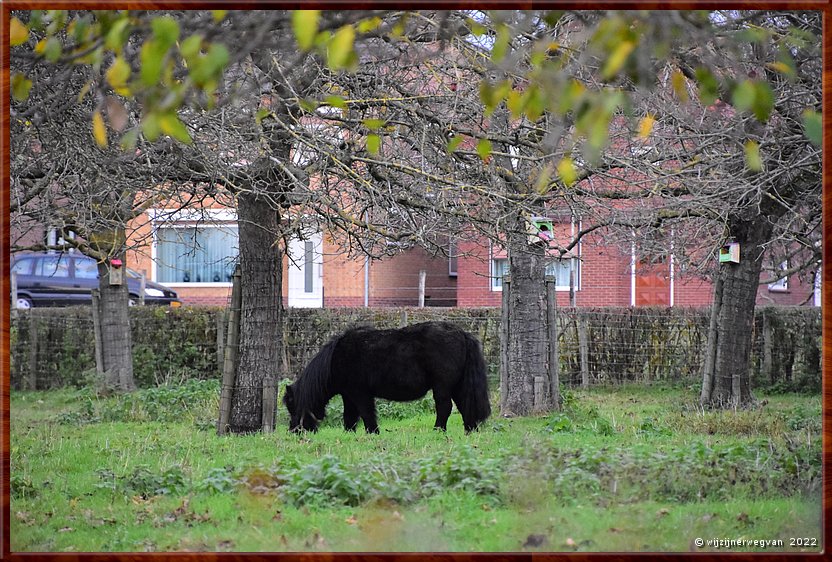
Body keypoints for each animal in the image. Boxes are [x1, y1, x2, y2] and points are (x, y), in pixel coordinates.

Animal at [282, 320, 490, 434]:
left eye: (292, 406)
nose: (294, 432)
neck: (336, 359)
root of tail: (462, 333)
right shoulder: (348, 396)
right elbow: (349, 417)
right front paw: (350, 435)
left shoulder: (360, 394)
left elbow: (366, 413)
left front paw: (373, 433)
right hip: (457, 386)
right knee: (465, 406)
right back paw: (470, 430)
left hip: (443, 387)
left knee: (444, 408)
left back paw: (438, 431)